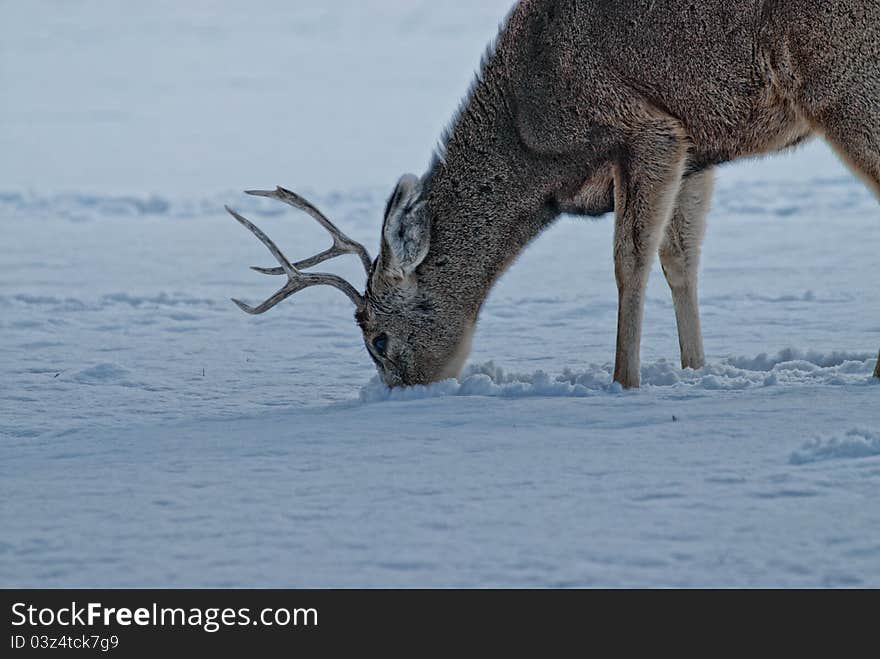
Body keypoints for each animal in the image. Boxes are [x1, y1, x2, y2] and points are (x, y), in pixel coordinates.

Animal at [227, 0, 880, 390]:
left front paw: (624, 382)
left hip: (844, 82)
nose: (397, 394)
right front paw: (695, 370)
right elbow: (680, 260)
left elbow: (629, 262)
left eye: (379, 340)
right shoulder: (696, 147)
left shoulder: (648, 128)